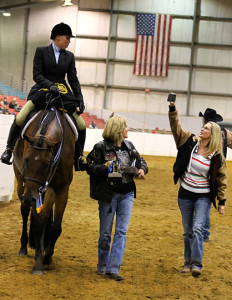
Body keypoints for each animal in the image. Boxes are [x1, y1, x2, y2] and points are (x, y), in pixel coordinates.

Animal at [12, 107, 75, 274]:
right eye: (26, 159)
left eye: (47, 163)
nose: (29, 198)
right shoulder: (35, 189)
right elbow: (39, 221)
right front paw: (39, 262)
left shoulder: (61, 189)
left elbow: (55, 227)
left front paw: (47, 257)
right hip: (21, 182)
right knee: (25, 212)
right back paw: (23, 247)